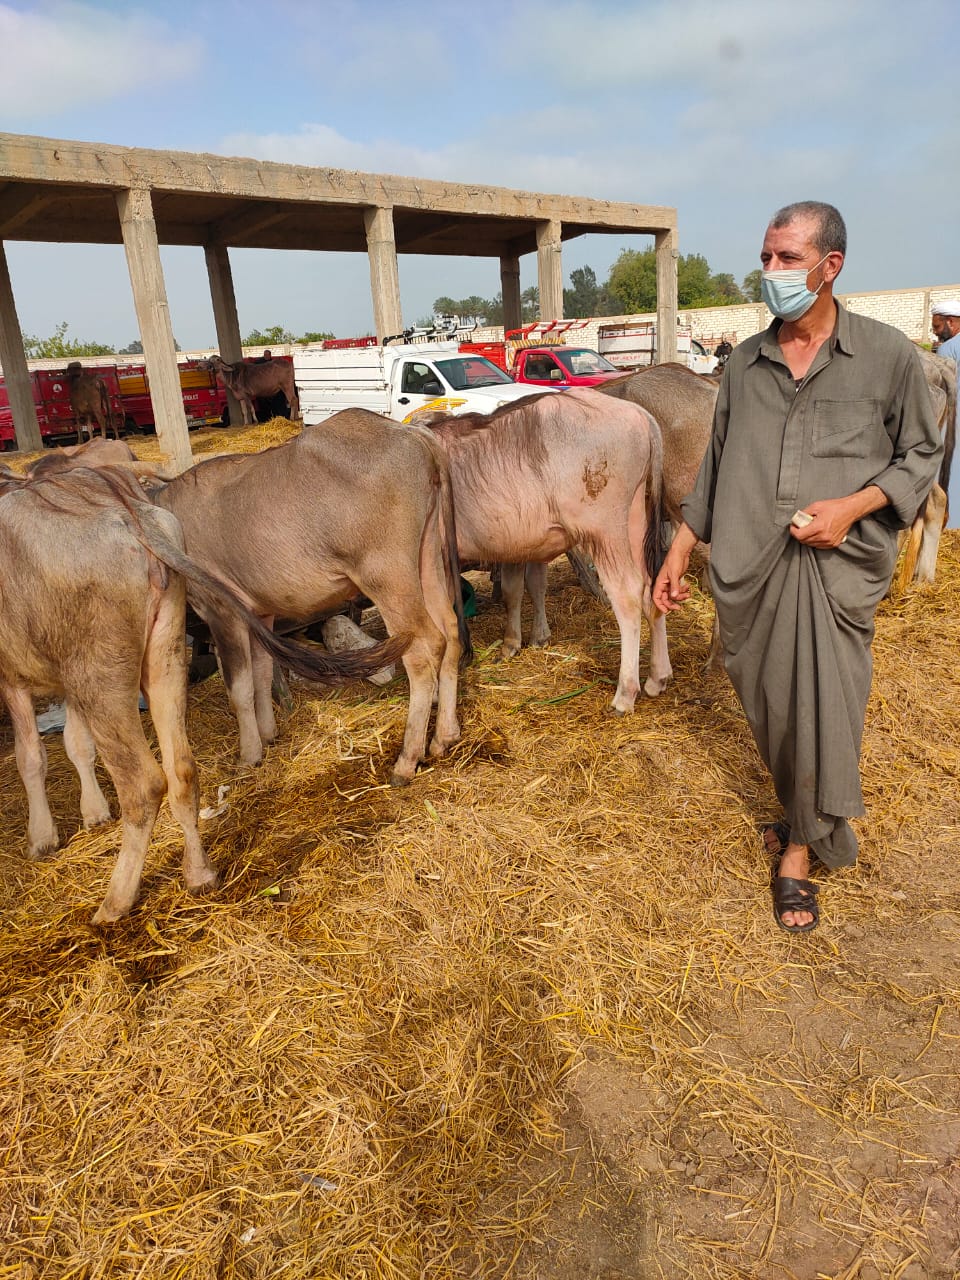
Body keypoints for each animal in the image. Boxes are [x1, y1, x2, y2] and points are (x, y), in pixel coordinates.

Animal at [0, 464, 406, 922]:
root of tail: (130, 517)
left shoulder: (14, 677)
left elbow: (31, 756)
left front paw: (41, 837)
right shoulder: (62, 678)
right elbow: (76, 743)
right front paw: (93, 812)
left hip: (101, 672)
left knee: (144, 783)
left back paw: (115, 901)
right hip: (162, 653)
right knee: (182, 769)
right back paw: (199, 873)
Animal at [146, 408, 468, 784]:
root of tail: (411, 434)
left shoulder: (221, 610)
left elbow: (239, 687)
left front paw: (248, 755)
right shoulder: (260, 612)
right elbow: (262, 673)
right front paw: (269, 734)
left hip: (388, 576)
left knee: (424, 648)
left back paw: (406, 760)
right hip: (427, 558)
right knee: (450, 630)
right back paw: (444, 736)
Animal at [420, 388, 670, 711]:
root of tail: (639, 415)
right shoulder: (514, 545)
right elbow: (516, 591)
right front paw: (513, 643)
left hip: (605, 530)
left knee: (628, 596)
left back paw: (625, 693)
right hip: (634, 522)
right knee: (652, 587)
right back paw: (657, 677)